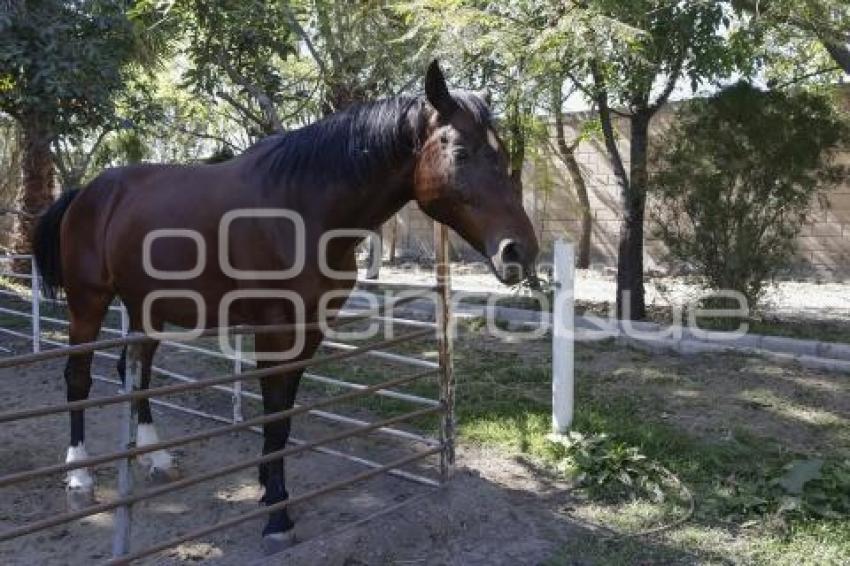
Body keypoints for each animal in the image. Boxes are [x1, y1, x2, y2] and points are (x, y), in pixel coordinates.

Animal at [33, 61, 536, 552]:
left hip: (147, 309)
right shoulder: (275, 330)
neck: (301, 208)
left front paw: (266, 487)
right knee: (78, 377)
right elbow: (274, 415)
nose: (519, 252)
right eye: (461, 153)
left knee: (134, 373)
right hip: (88, 302)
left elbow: (285, 417)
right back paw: (79, 476)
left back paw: (155, 456)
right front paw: (276, 514)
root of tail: (86, 192)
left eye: (502, 153)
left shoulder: (308, 330)